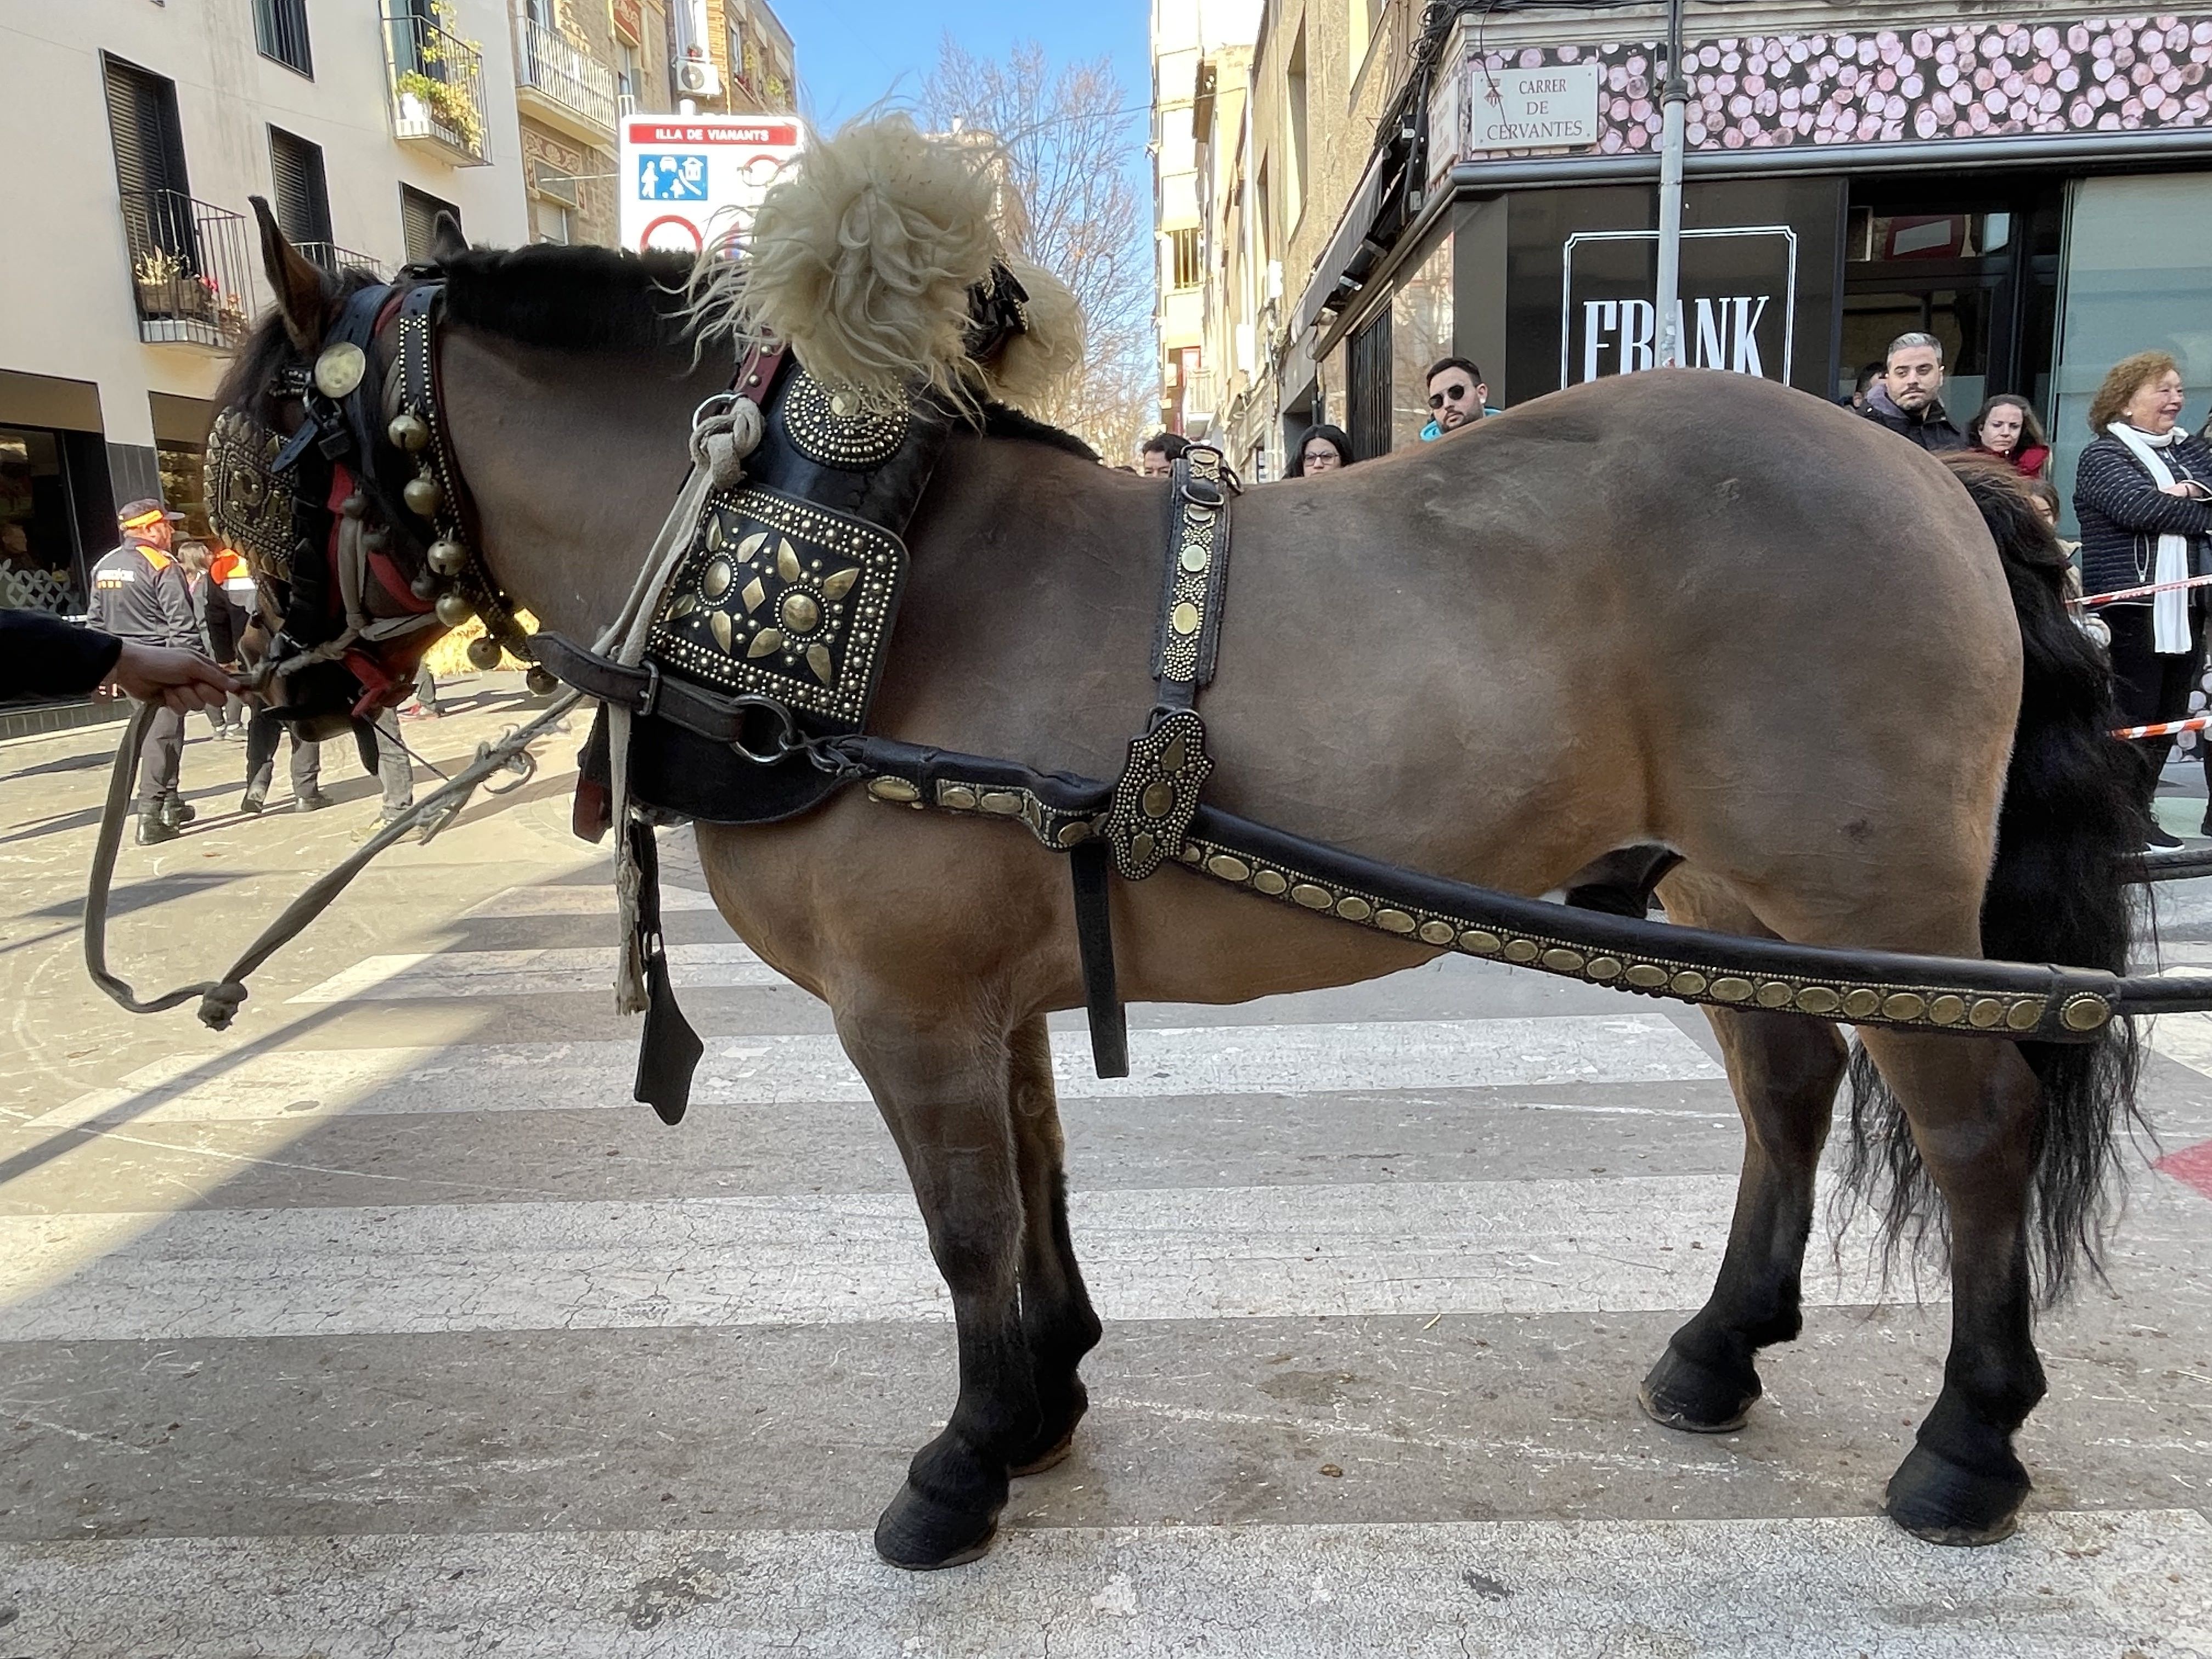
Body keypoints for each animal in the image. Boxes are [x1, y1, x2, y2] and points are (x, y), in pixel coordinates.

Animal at [220, 169, 2141, 1575]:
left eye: (262, 448)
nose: (271, 686)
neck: (817, 568)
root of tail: (1930, 470)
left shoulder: (904, 1010)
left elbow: (964, 1224)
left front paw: (960, 1464)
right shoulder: (982, 991)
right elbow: (1035, 1187)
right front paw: (1042, 1395)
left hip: (1875, 904)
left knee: (1979, 1132)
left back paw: (1970, 1440)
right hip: (1735, 898)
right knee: (1785, 1084)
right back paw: (1721, 1348)